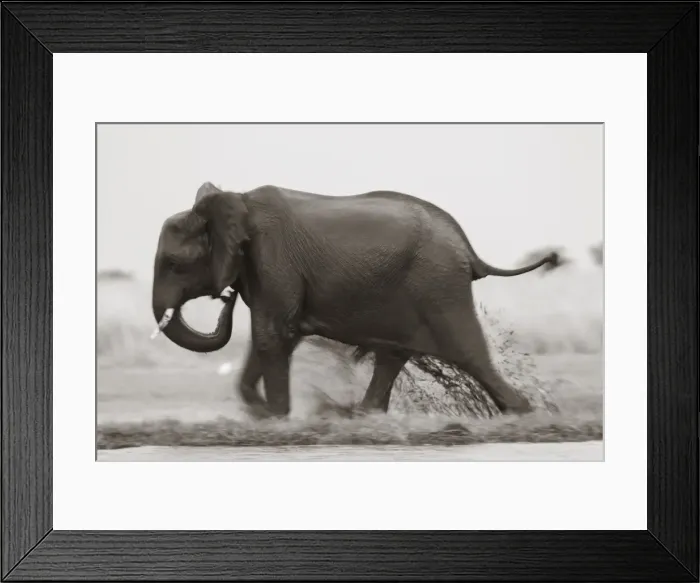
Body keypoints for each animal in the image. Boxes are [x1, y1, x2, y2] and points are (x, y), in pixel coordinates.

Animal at [151, 182, 561, 418]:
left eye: (173, 264)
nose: (226, 297)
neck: (233, 203)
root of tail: (469, 249)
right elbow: (274, 335)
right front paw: (264, 415)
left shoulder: (273, 259)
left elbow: (272, 334)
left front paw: (279, 419)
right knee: (394, 354)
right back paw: (362, 416)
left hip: (439, 285)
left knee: (468, 352)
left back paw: (523, 414)